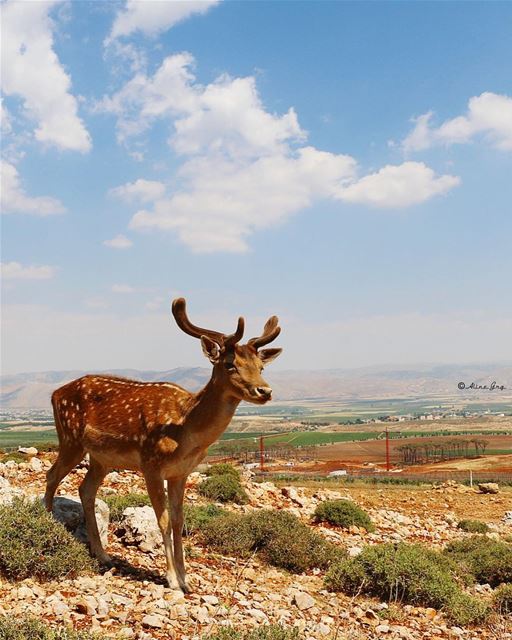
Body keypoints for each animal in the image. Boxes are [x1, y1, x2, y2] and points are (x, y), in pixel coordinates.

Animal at [44, 298, 282, 592]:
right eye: (230, 364)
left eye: (261, 366)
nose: (265, 391)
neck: (184, 430)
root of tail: (54, 394)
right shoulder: (151, 465)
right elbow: (164, 519)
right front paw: (171, 579)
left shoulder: (181, 472)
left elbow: (179, 520)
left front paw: (186, 579)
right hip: (70, 438)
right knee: (52, 475)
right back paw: (45, 525)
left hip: (101, 458)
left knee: (85, 489)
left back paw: (102, 554)